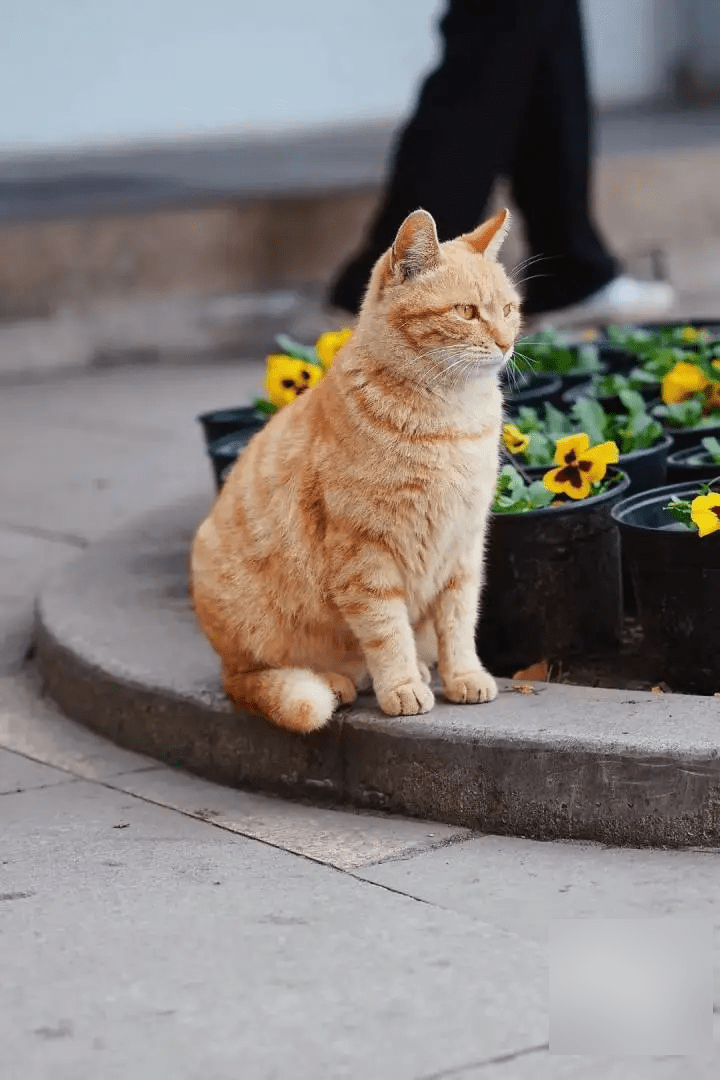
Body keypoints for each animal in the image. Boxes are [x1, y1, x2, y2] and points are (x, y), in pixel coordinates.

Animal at [191, 208, 518, 734]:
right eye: (467, 312)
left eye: (509, 310)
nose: (507, 344)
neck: (452, 422)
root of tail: (224, 669)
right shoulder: (366, 556)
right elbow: (387, 632)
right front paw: (402, 686)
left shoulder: (463, 548)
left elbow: (458, 622)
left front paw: (464, 676)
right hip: (247, 630)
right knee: (264, 676)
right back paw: (337, 682)